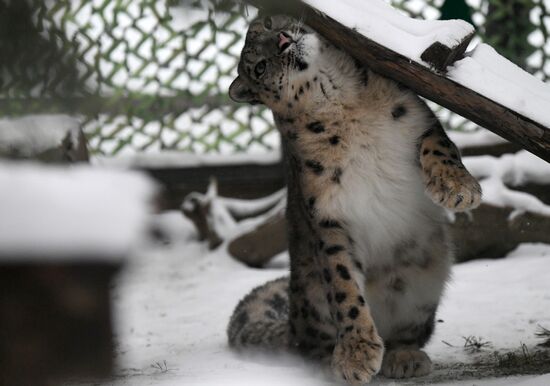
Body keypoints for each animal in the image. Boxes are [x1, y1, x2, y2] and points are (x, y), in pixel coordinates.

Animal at [226, 14, 480, 382]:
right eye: (259, 68)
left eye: (269, 25)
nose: (284, 40)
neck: (343, 101)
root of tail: (292, 324)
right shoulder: (329, 216)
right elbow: (344, 286)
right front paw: (356, 355)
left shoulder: (420, 119)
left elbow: (440, 146)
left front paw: (458, 188)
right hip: (312, 305)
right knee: (308, 346)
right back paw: (330, 362)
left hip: (423, 288)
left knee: (407, 334)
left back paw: (404, 357)